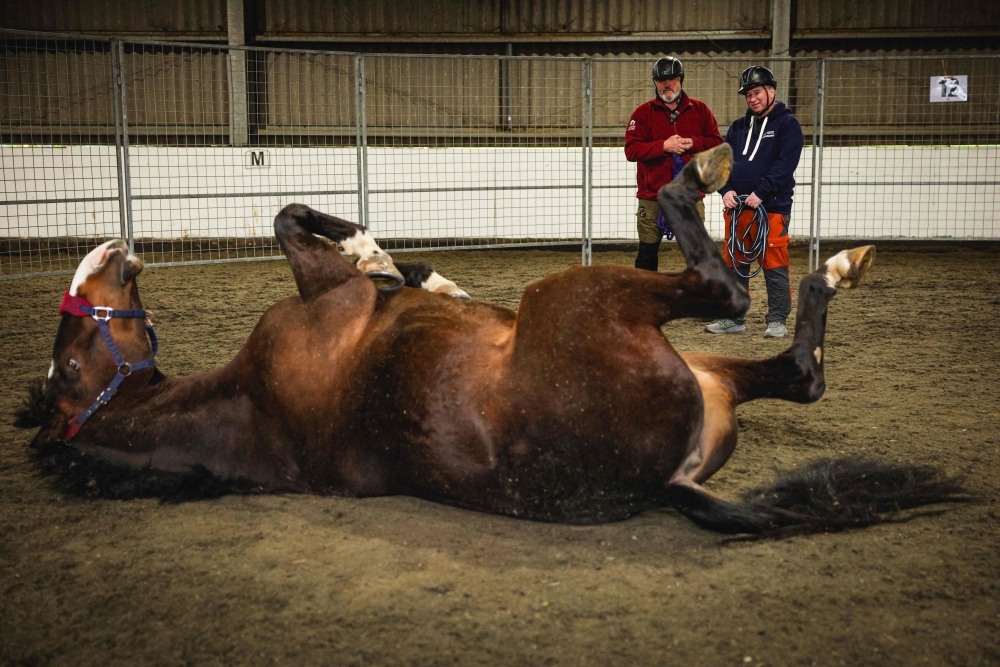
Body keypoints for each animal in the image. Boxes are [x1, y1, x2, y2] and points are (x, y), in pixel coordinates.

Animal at [16, 144, 966, 536]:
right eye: (71, 361)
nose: (103, 252)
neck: (252, 406)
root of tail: (667, 482)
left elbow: (300, 217)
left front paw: (422, 274)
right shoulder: (324, 296)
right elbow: (293, 221)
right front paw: (377, 253)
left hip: (709, 367)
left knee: (799, 369)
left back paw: (833, 263)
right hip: (581, 296)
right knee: (725, 287)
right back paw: (716, 179)